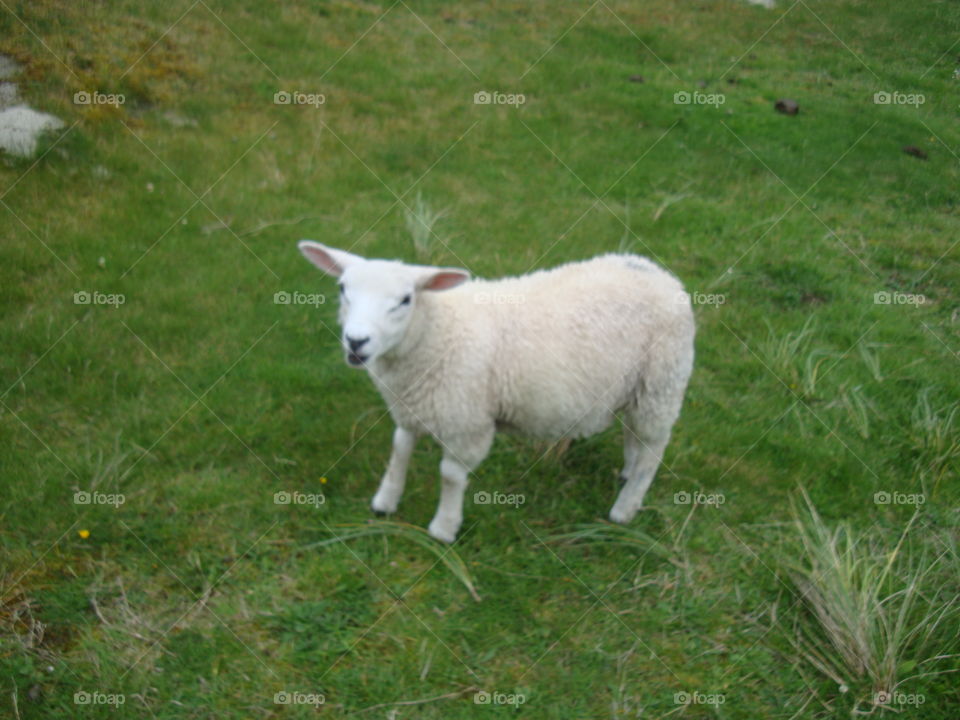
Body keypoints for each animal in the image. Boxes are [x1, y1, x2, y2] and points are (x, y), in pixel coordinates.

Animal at [298, 241, 695, 543]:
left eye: (405, 300)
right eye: (343, 289)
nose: (356, 341)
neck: (435, 331)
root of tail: (656, 271)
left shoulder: (468, 421)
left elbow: (450, 475)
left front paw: (443, 529)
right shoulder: (411, 407)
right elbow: (400, 450)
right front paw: (385, 502)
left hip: (663, 380)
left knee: (653, 448)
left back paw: (625, 508)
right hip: (638, 387)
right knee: (634, 437)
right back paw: (627, 473)